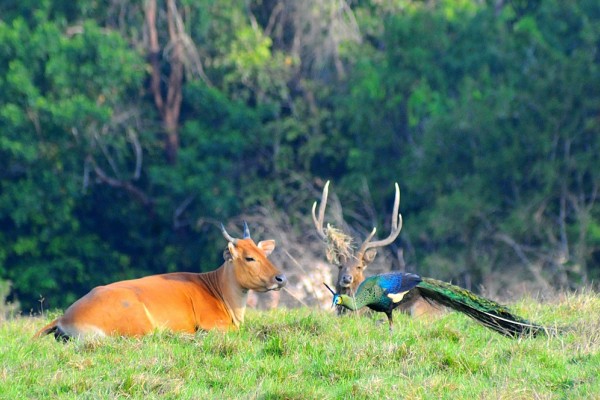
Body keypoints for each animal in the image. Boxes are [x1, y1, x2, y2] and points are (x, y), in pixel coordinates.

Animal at [35, 222, 288, 340]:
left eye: (265, 253)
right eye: (249, 257)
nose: (281, 278)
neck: (219, 291)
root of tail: (65, 317)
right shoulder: (216, 326)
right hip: (142, 325)